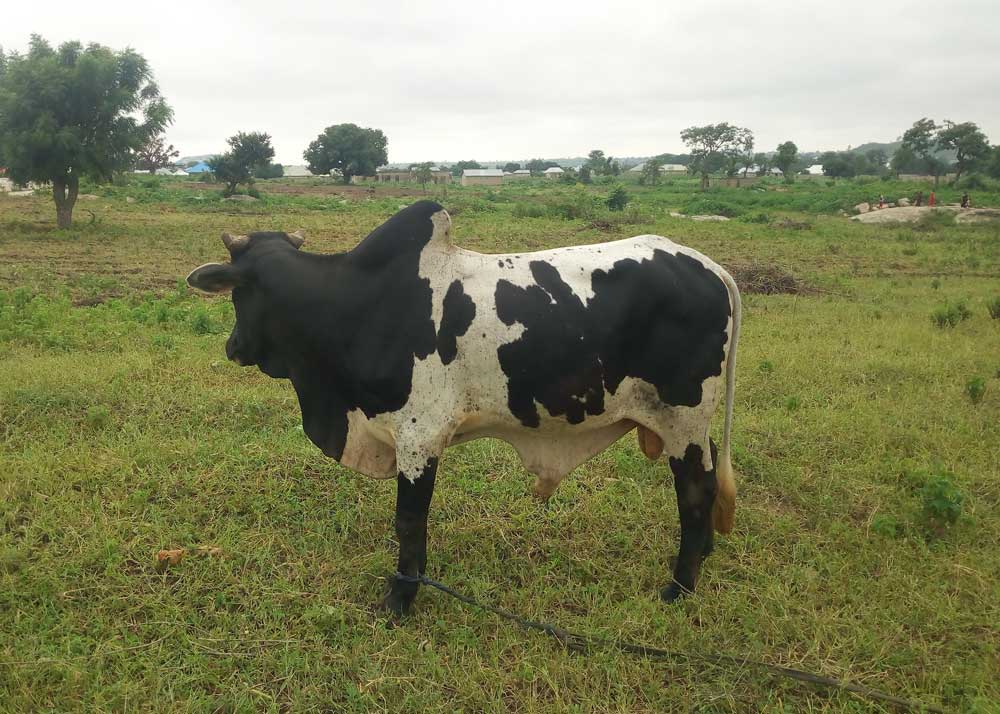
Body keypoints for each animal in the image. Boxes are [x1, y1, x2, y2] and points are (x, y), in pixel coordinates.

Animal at [186, 200, 741, 616]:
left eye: (237, 293)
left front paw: (400, 598)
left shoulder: (419, 436)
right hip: (683, 423)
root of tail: (707, 265)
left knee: (695, 491)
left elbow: (409, 521)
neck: (354, 306)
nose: (233, 347)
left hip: (684, 418)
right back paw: (705, 555)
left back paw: (680, 587)